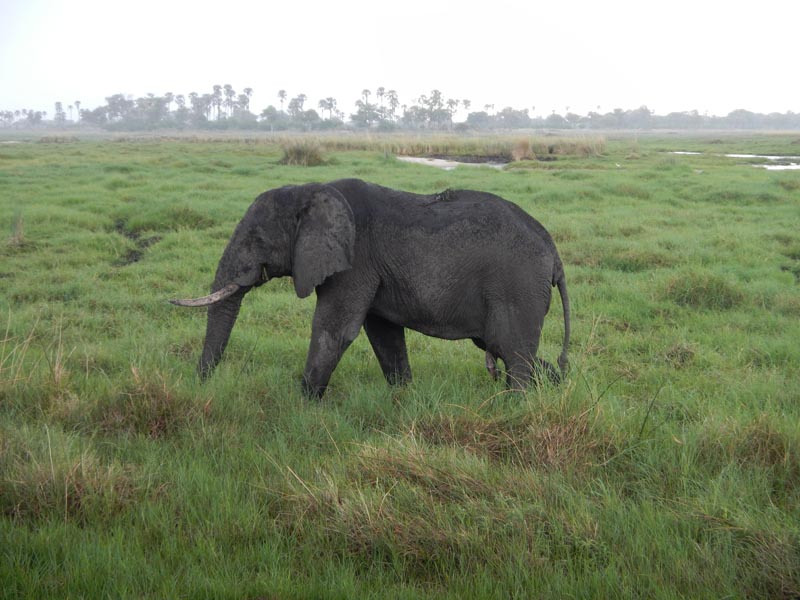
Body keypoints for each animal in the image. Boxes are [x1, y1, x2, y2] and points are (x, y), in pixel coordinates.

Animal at [171, 178, 570, 398]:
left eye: (256, 239)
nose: (201, 384)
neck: (310, 190)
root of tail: (554, 255)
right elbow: (382, 332)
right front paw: (403, 397)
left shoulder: (354, 260)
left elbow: (335, 330)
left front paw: (302, 405)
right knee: (509, 350)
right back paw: (552, 389)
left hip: (517, 286)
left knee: (513, 353)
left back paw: (517, 406)